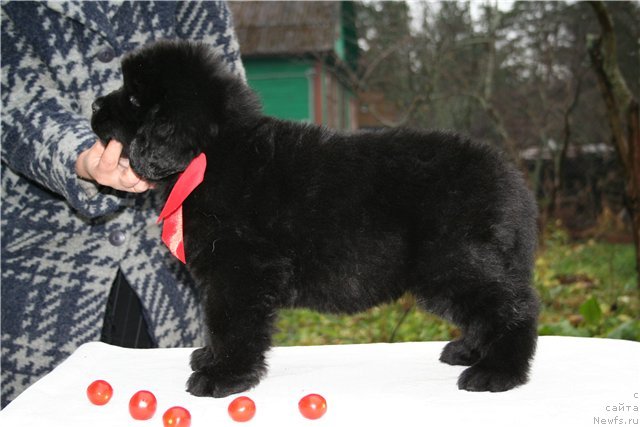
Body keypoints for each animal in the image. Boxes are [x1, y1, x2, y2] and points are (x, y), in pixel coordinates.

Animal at [90, 41, 540, 398]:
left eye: (134, 100)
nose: (94, 106)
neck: (211, 156)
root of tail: (509, 177)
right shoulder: (225, 275)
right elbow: (215, 322)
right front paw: (209, 358)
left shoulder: (241, 269)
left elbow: (231, 323)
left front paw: (224, 376)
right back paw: (469, 351)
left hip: (452, 261)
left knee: (515, 306)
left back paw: (498, 372)